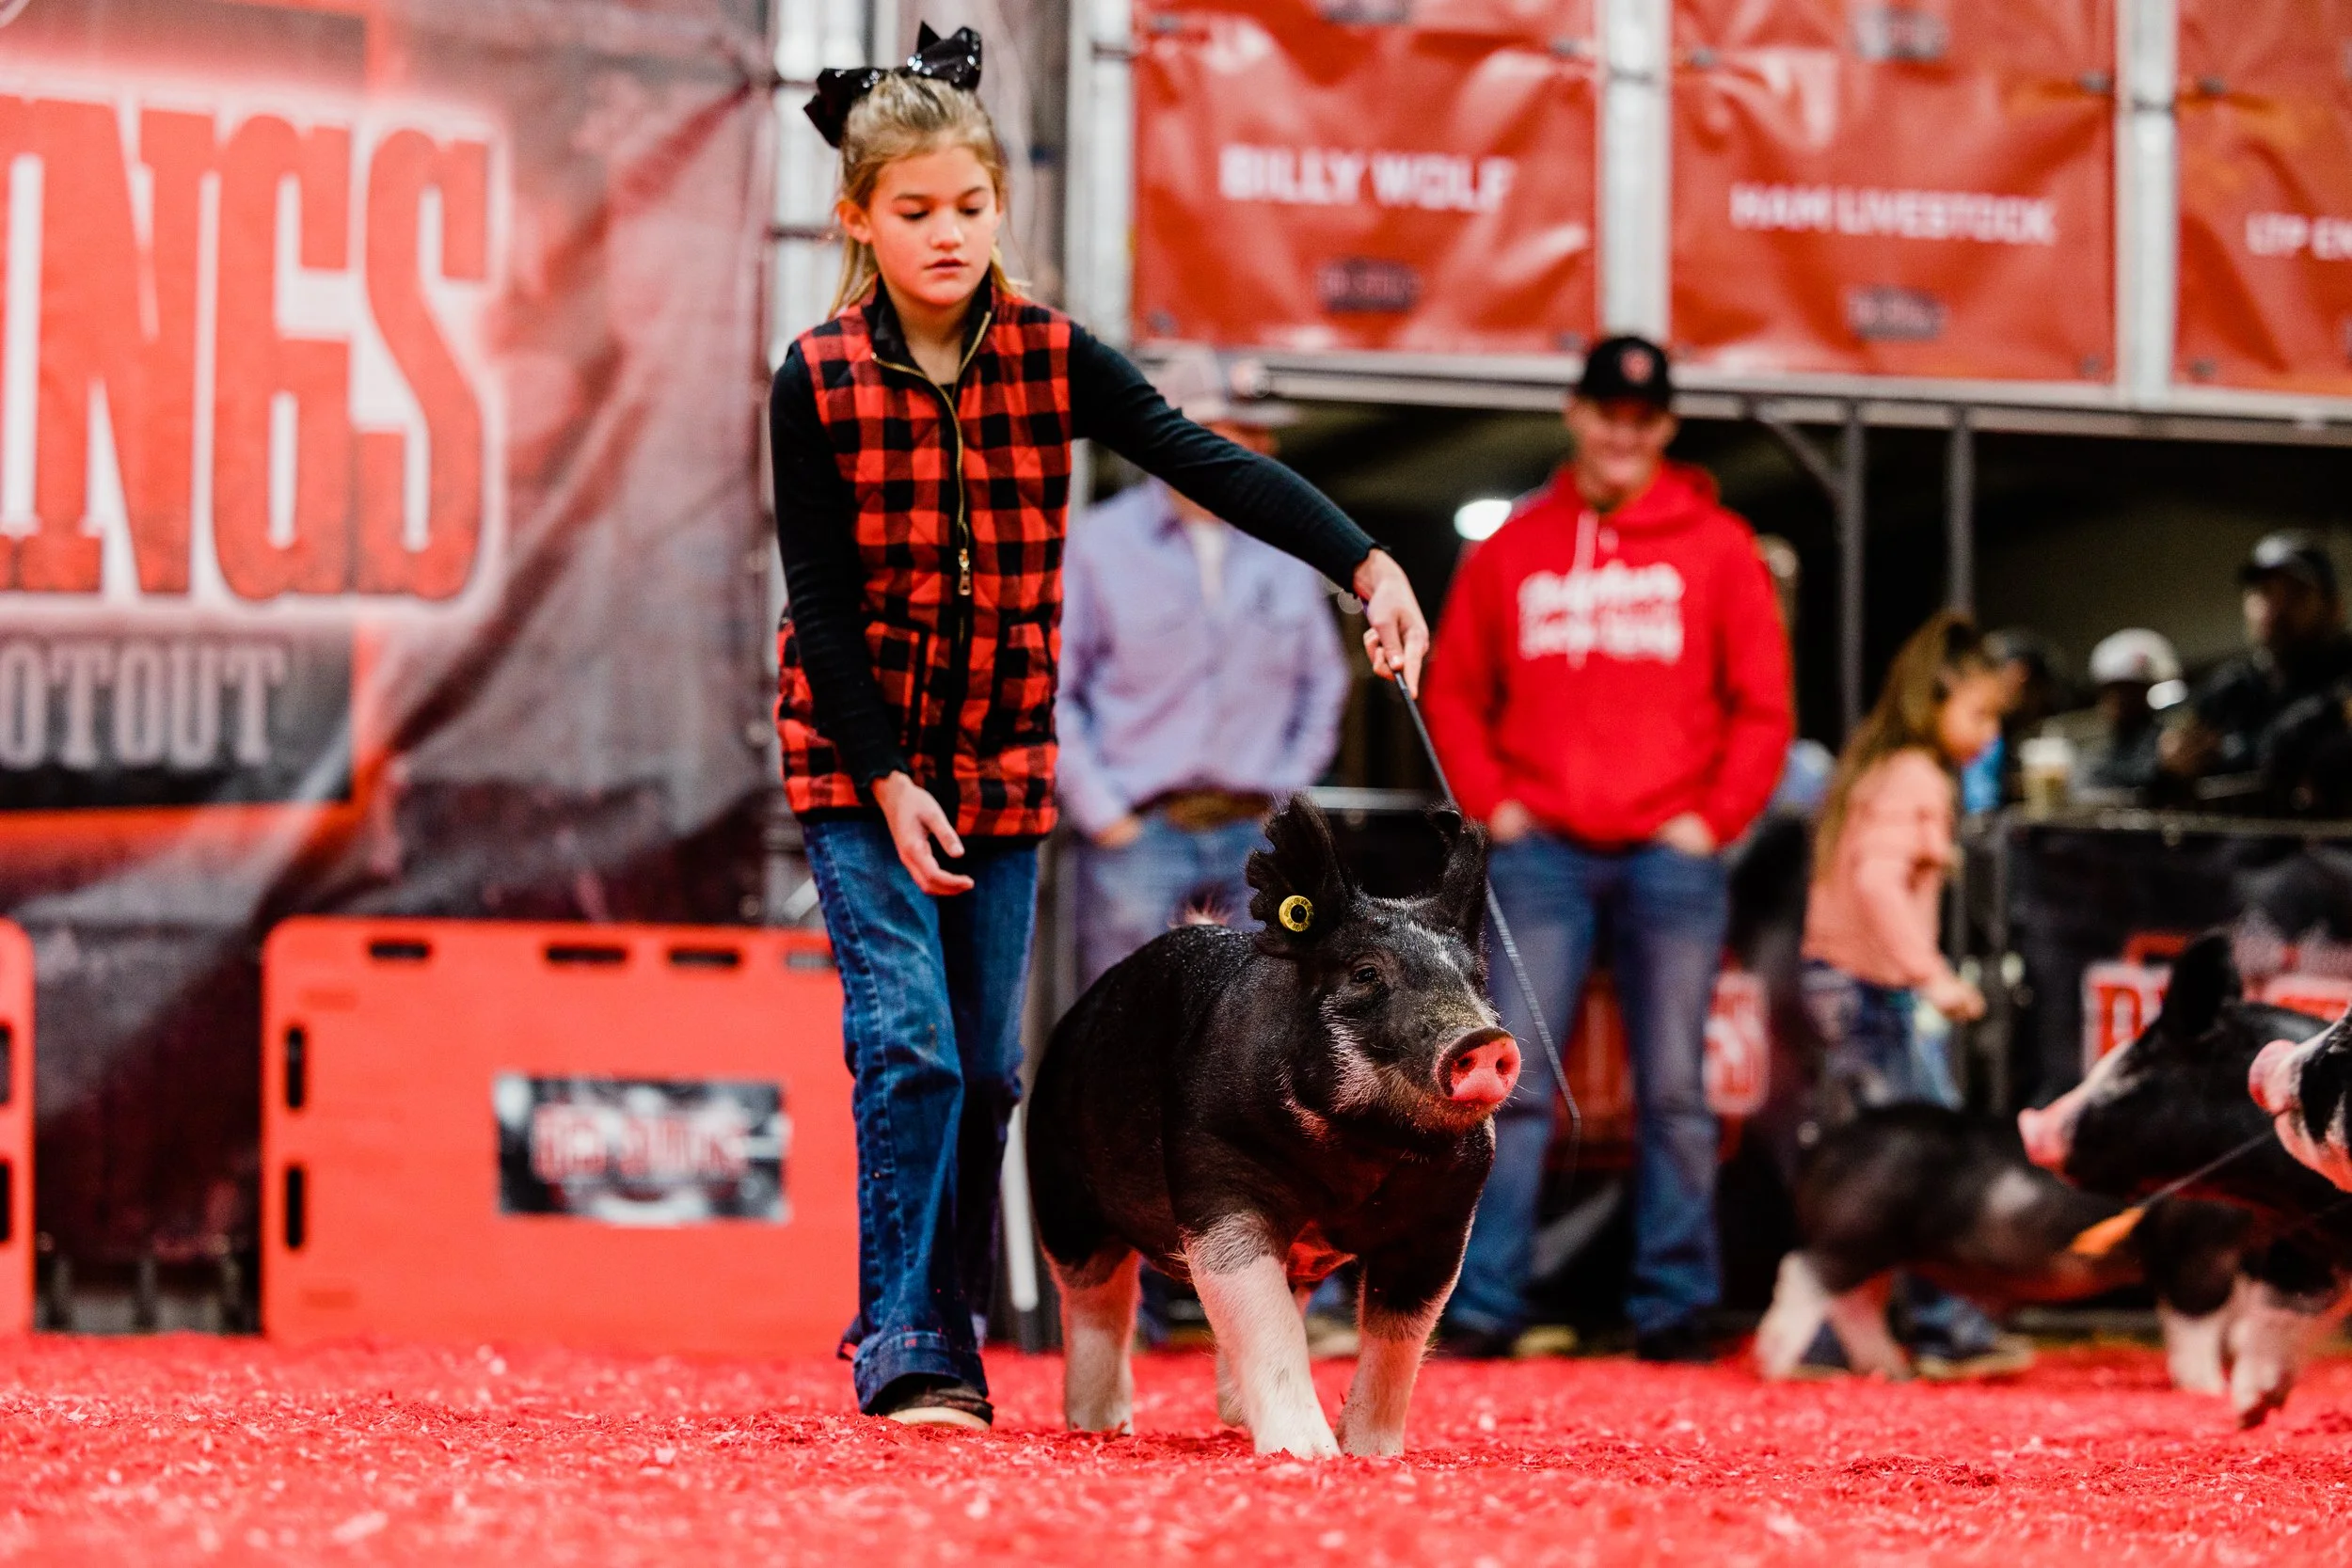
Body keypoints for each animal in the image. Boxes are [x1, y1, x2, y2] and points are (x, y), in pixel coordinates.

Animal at [1025, 798, 1515, 1459]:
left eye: (1474, 981)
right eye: (1366, 973)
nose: (1483, 1038)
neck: (1359, 1151)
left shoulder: (1445, 1218)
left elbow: (1398, 1339)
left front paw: (1371, 1454)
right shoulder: (1216, 1177)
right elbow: (1263, 1314)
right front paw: (1307, 1453)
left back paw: (1225, 1413)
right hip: (1062, 1193)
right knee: (1094, 1298)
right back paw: (1100, 1425)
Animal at [1756, 1103, 2255, 1395]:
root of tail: (1827, 1138)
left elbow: (2236, 1317)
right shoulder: (2200, 1247)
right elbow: (2197, 1319)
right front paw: (2210, 1388)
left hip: (1877, 1250)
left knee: (1856, 1305)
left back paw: (1893, 1372)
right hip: (1852, 1235)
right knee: (1798, 1277)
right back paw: (1776, 1365)